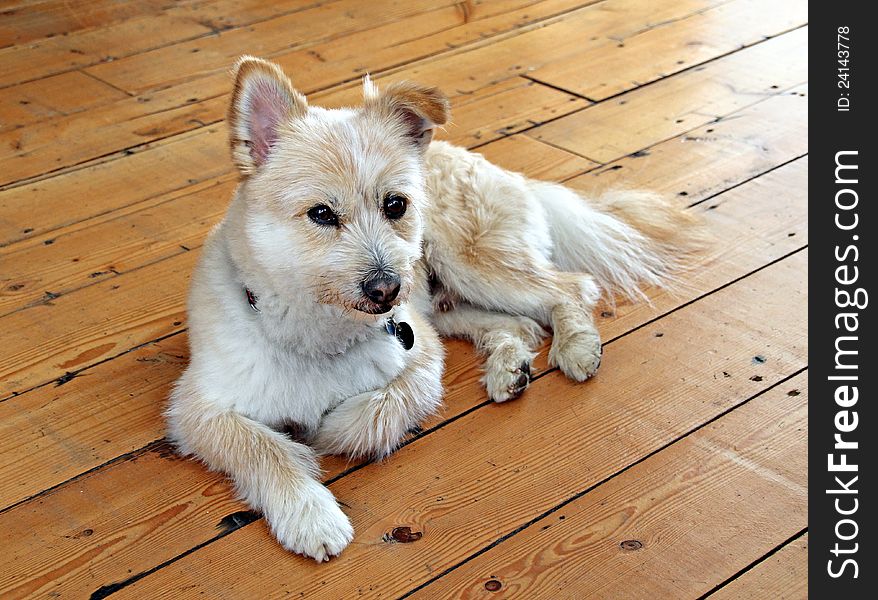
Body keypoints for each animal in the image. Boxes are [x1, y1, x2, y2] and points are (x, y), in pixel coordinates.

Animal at [163, 56, 700, 564]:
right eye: (321, 214)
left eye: (395, 205)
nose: (386, 288)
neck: (321, 330)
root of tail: (506, 172)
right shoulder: (200, 409)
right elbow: (264, 449)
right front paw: (311, 514)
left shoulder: (420, 360)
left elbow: (369, 415)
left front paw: (324, 434)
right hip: (449, 301)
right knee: (519, 323)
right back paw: (510, 368)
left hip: (469, 264)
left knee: (568, 288)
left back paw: (576, 347)